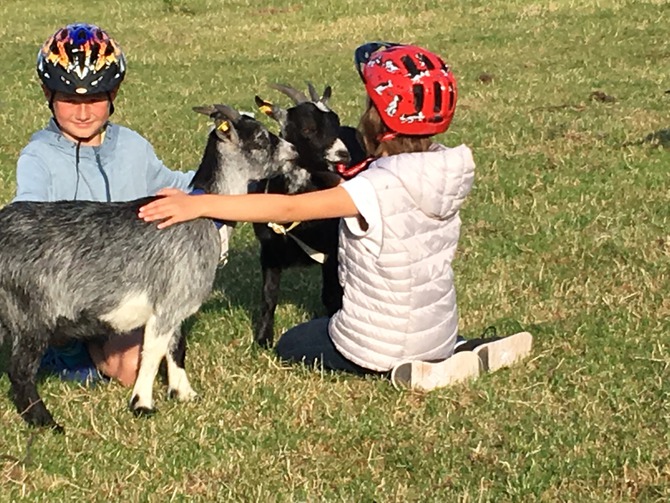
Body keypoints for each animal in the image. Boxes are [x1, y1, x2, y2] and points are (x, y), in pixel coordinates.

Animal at [0, 104, 300, 432]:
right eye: (260, 137)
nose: (294, 151)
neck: (203, 217)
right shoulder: (166, 304)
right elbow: (153, 353)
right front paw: (142, 403)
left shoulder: (178, 303)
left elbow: (176, 347)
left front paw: (184, 393)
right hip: (29, 313)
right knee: (21, 370)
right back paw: (45, 422)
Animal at [252, 84, 368, 348]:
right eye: (308, 128)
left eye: (335, 122)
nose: (343, 154)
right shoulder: (270, 249)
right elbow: (268, 296)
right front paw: (263, 339)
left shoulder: (332, 249)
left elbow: (331, 295)